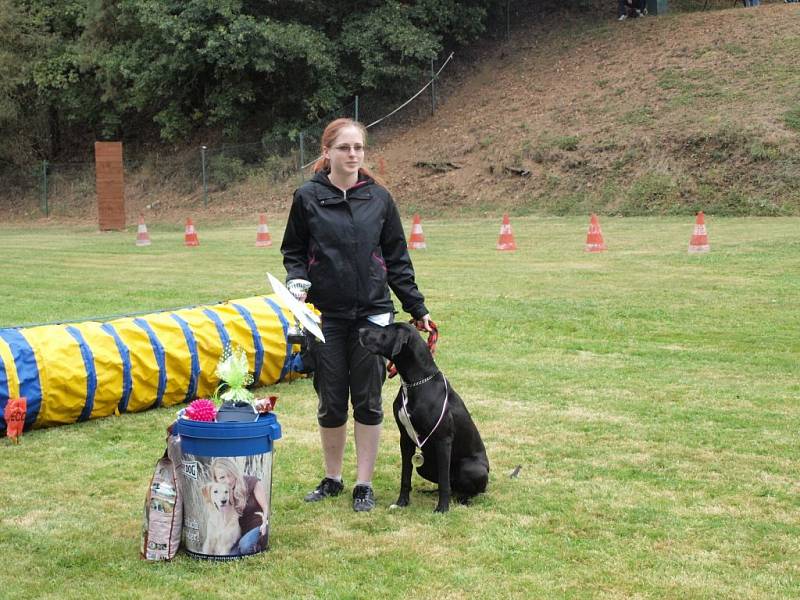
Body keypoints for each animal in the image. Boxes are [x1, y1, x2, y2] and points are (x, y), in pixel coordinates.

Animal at [358, 322, 488, 512]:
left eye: (385, 331)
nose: (359, 330)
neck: (414, 383)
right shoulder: (405, 439)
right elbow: (406, 475)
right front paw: (401, 502)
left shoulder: (443, 440)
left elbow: (444, 481)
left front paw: (442, 509)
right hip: (425, 467)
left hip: (472, 468)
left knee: (467, 489)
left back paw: (463, 499)